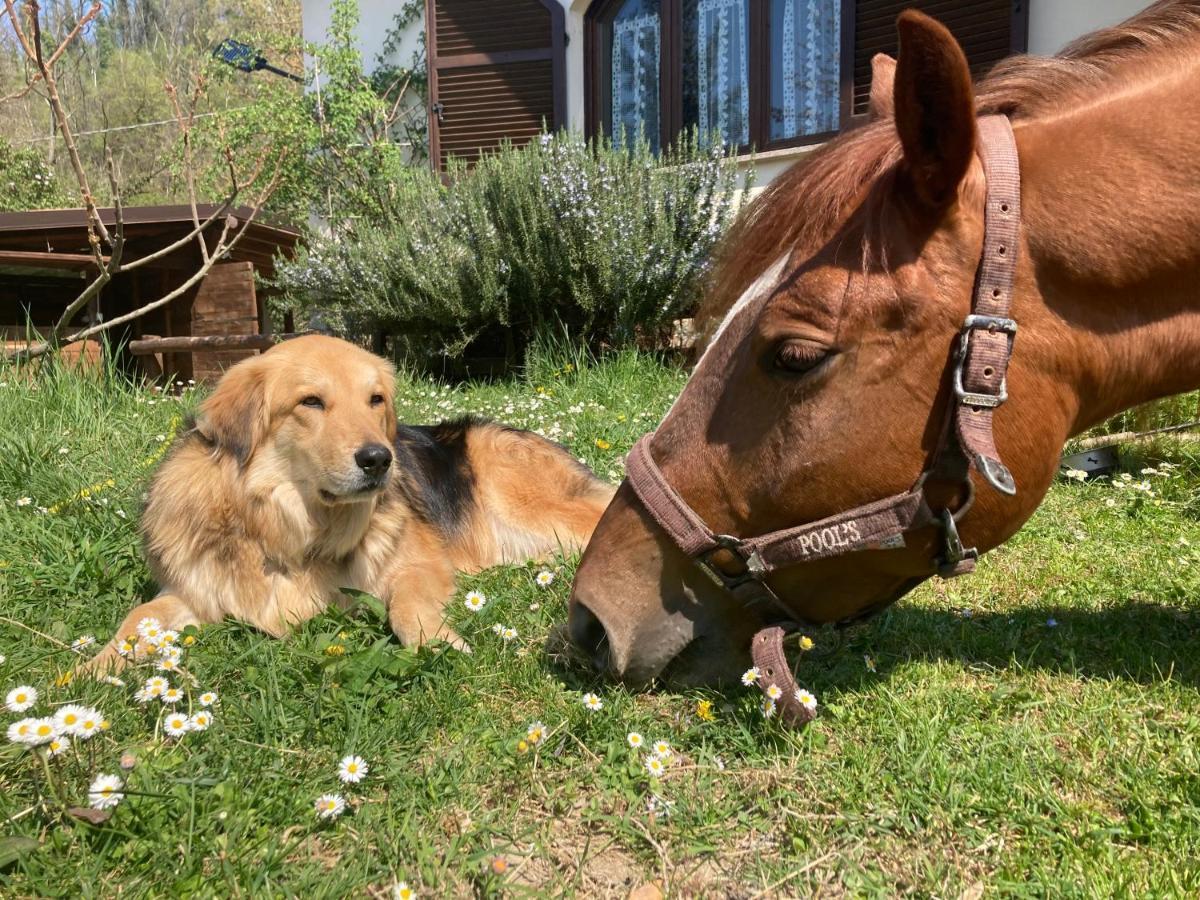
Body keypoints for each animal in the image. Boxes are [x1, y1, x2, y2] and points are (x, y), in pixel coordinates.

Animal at [85, 336, 614, 672]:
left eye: (375, 399)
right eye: (311, 402)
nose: (379, 460)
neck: (285, 530)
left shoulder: (418, 564)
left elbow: (407, 605)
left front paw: (436, 641)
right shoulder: (191, 589)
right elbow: (136, 621)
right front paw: (90, 672)